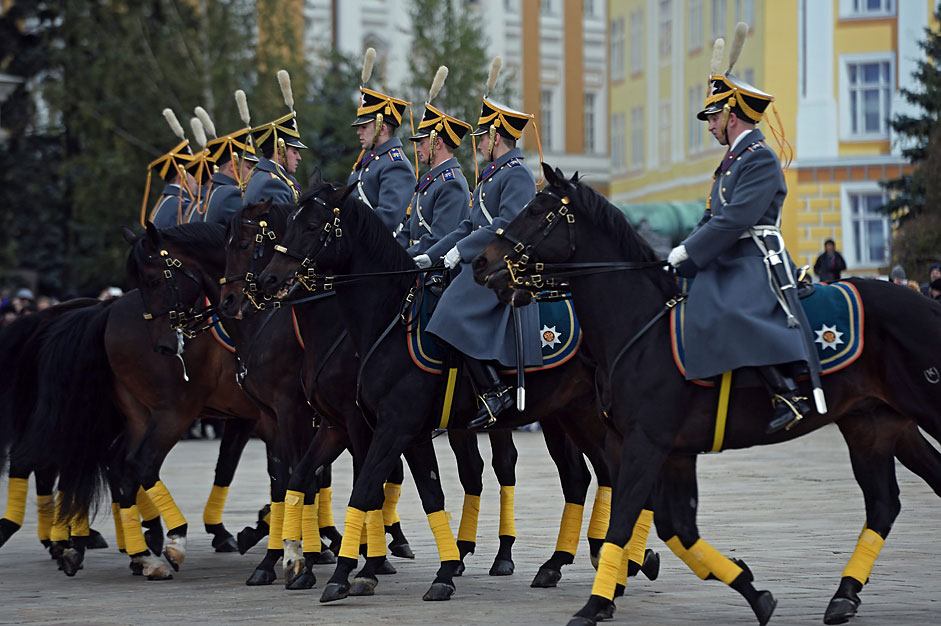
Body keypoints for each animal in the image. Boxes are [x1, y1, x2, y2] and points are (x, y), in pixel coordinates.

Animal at [253, 179, 644, 600]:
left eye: (312, 226)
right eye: (286, 226)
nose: (268, 280)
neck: (388, 320)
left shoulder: (390, 426)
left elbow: (365, 489)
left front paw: (345, 573)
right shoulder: (364, 428)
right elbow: (413, 493)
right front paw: (301, 561)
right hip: (569, 413)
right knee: (587, 475)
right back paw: (568, 563)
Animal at [474, 165, 940, 624]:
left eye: (536, 209)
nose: (480, 261)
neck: (642, 328)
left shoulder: (647, 443)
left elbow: (624, 522)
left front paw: (593, 604)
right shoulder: (661, 450)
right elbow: (678, 528)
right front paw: (754, 592)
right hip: (874, 425)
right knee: (886, 502)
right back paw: (844, 594)